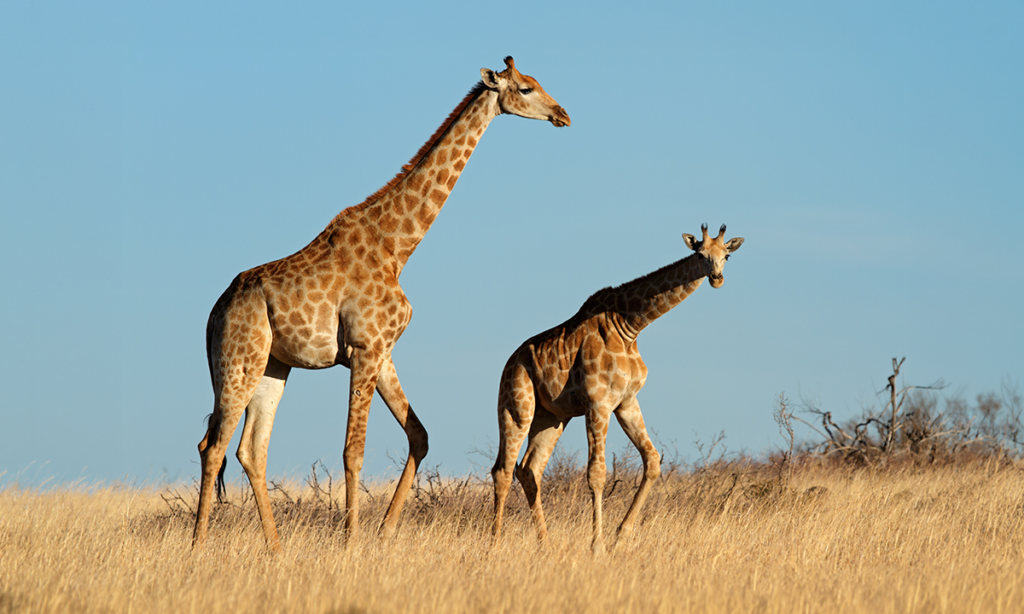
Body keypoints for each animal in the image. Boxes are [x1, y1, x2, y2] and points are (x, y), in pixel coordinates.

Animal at [194, 57, 570, 552]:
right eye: (526, 88)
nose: (563, 114)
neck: (397, 246)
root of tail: (214, 314)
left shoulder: (384, 351)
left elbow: (420, 435)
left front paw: (384, 530)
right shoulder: (364, 349)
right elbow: (354, 450)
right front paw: (351, 539)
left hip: (273, 365)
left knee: (249, 449)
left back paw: (274, 548)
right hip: (239, 360)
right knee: (214, 445)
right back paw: (198, 544)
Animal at [490, 224, 743, 551]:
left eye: (726, 255)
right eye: (700, 254)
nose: (717, 278)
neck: (630, 327)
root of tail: (510, 362)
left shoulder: (626, 401)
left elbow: (653, 461)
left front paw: (621, 535)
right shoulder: (597, 403)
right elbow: (597, 473)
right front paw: (597, 545)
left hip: (552, 417)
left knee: (529, 470)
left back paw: (545, 544)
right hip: (517, 407)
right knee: (503, 470)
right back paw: (494, 542)